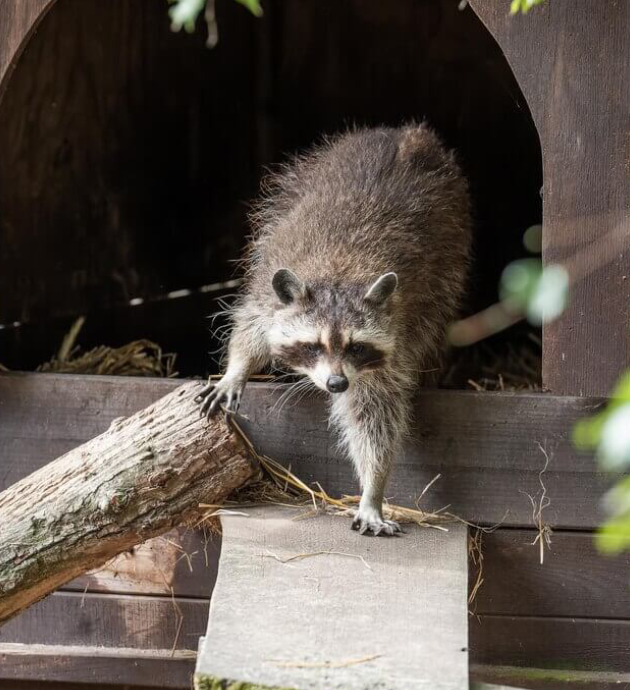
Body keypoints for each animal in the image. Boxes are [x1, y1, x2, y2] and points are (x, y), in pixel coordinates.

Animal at [196, 124, 471, 536]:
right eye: (313, 345)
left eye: (357, 347)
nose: (337, 384)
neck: (340, 275)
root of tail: (406, 132)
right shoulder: (269, 290)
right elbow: (250, 329)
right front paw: (237, 370)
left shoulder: (396, 340)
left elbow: (375, 412)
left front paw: (373, 489)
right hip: (296, 182)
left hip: (452, 247)